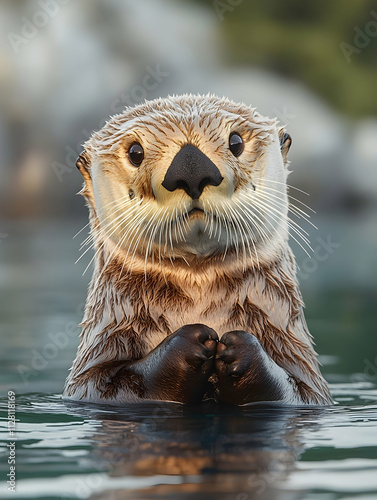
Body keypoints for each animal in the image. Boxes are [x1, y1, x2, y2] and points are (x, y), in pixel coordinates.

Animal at [61, 94, 332, 406]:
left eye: (236, 142)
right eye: (135, 152)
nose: (191, 168)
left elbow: (302, 391)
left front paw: (238, 349)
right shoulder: (97, 357)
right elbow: (103, 385)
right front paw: (192, 344)